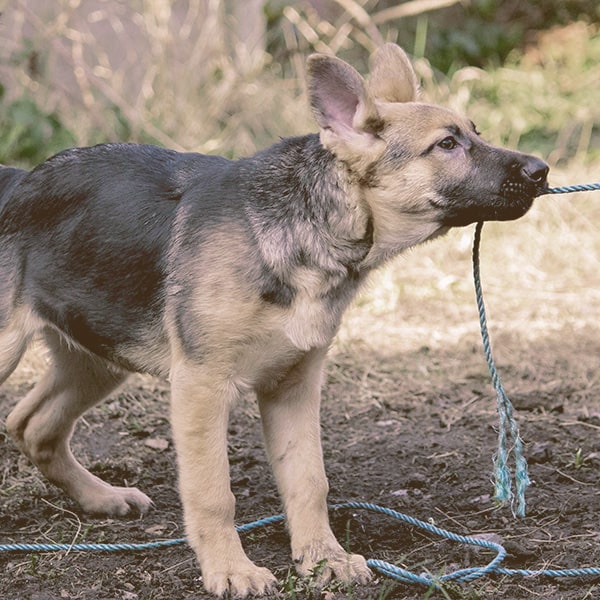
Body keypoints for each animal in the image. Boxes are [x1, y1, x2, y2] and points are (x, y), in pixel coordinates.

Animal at [0, 45, 548, 596]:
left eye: (475, 132)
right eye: (447, 144)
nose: (541, 170)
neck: (312, 227)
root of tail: (17, 180)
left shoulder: (294, 384)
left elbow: (309, 481)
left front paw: (323, 558)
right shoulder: (200, 386)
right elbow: (213, 492)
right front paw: (231, 569)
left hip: (100, 349)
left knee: (32, 424)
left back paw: (101, 497)